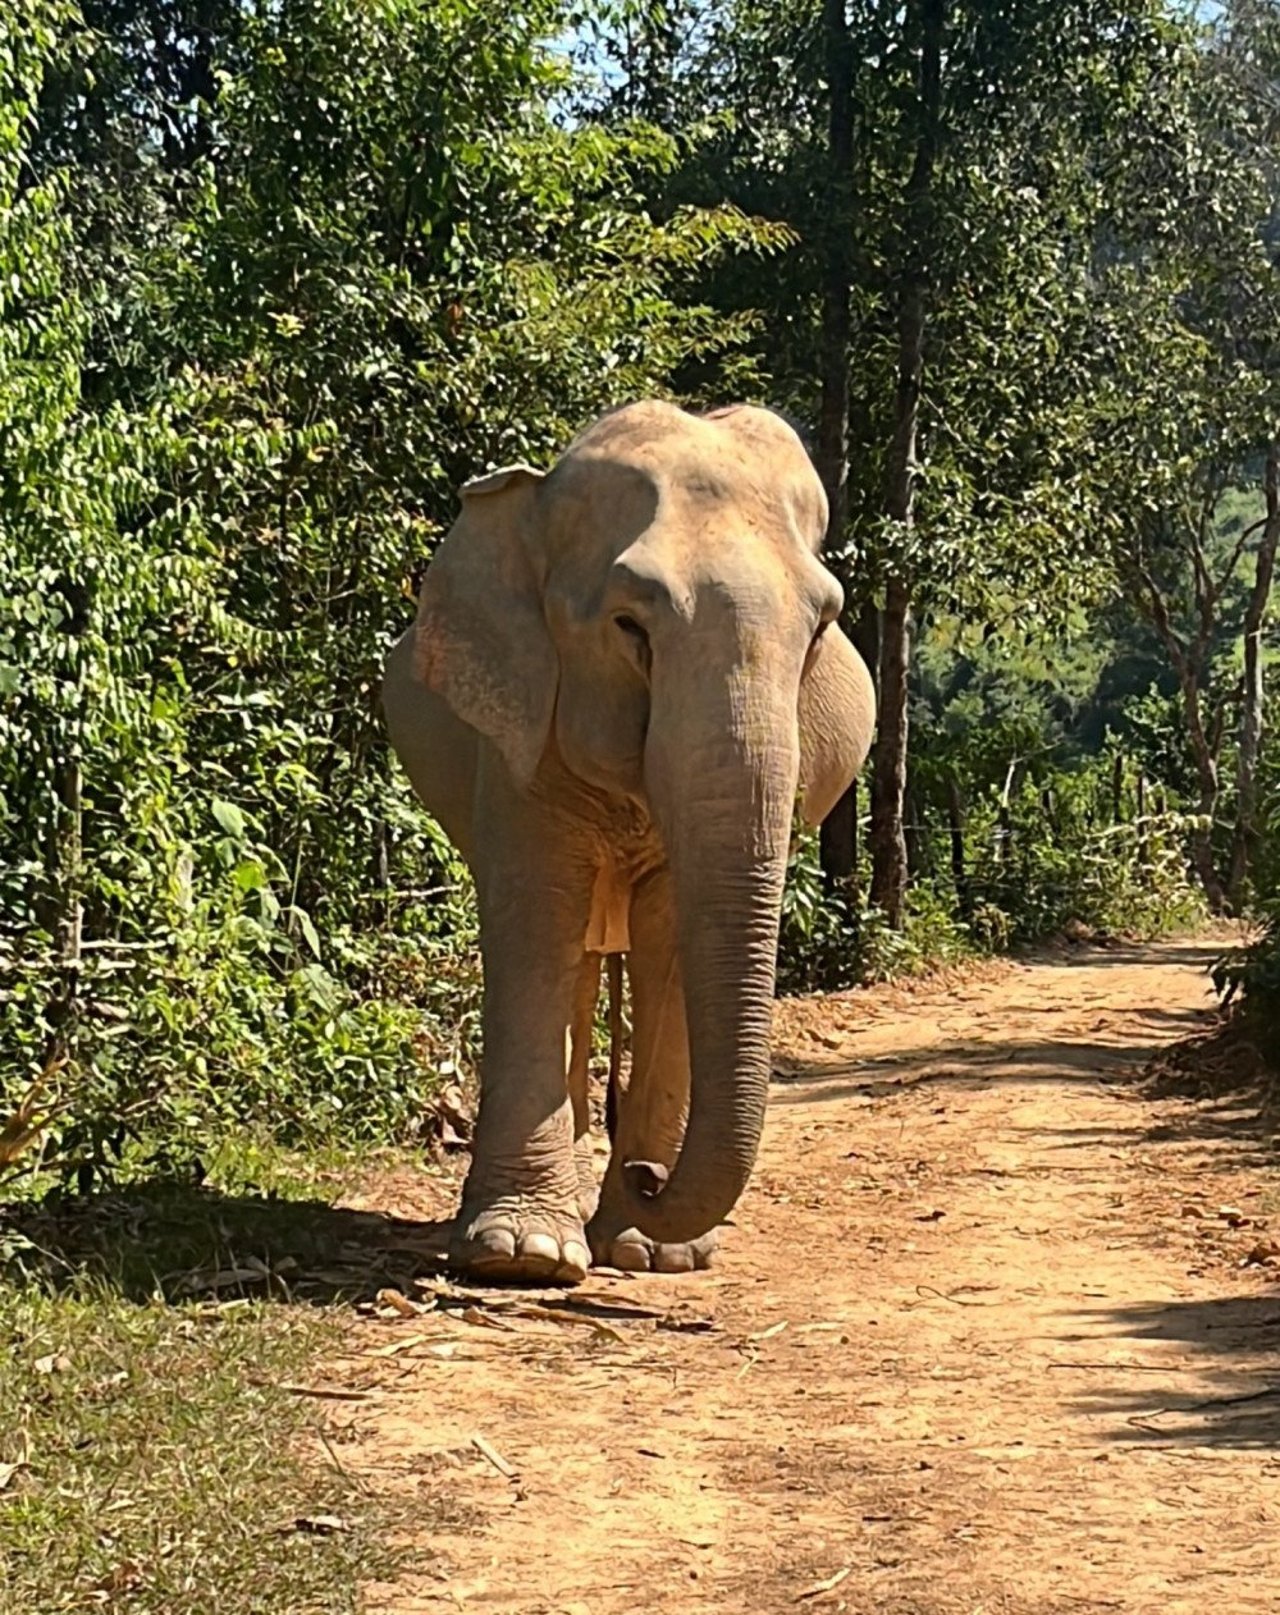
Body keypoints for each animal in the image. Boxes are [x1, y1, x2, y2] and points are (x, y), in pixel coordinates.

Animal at [379, 400, 871, 1285]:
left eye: (822, 629)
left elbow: (672, 932)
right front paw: (523, 1255)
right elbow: (535, 914)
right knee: (573, 955)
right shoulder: (517, 732)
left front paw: (653, 1250)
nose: (647, 1178)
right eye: (629, 626)